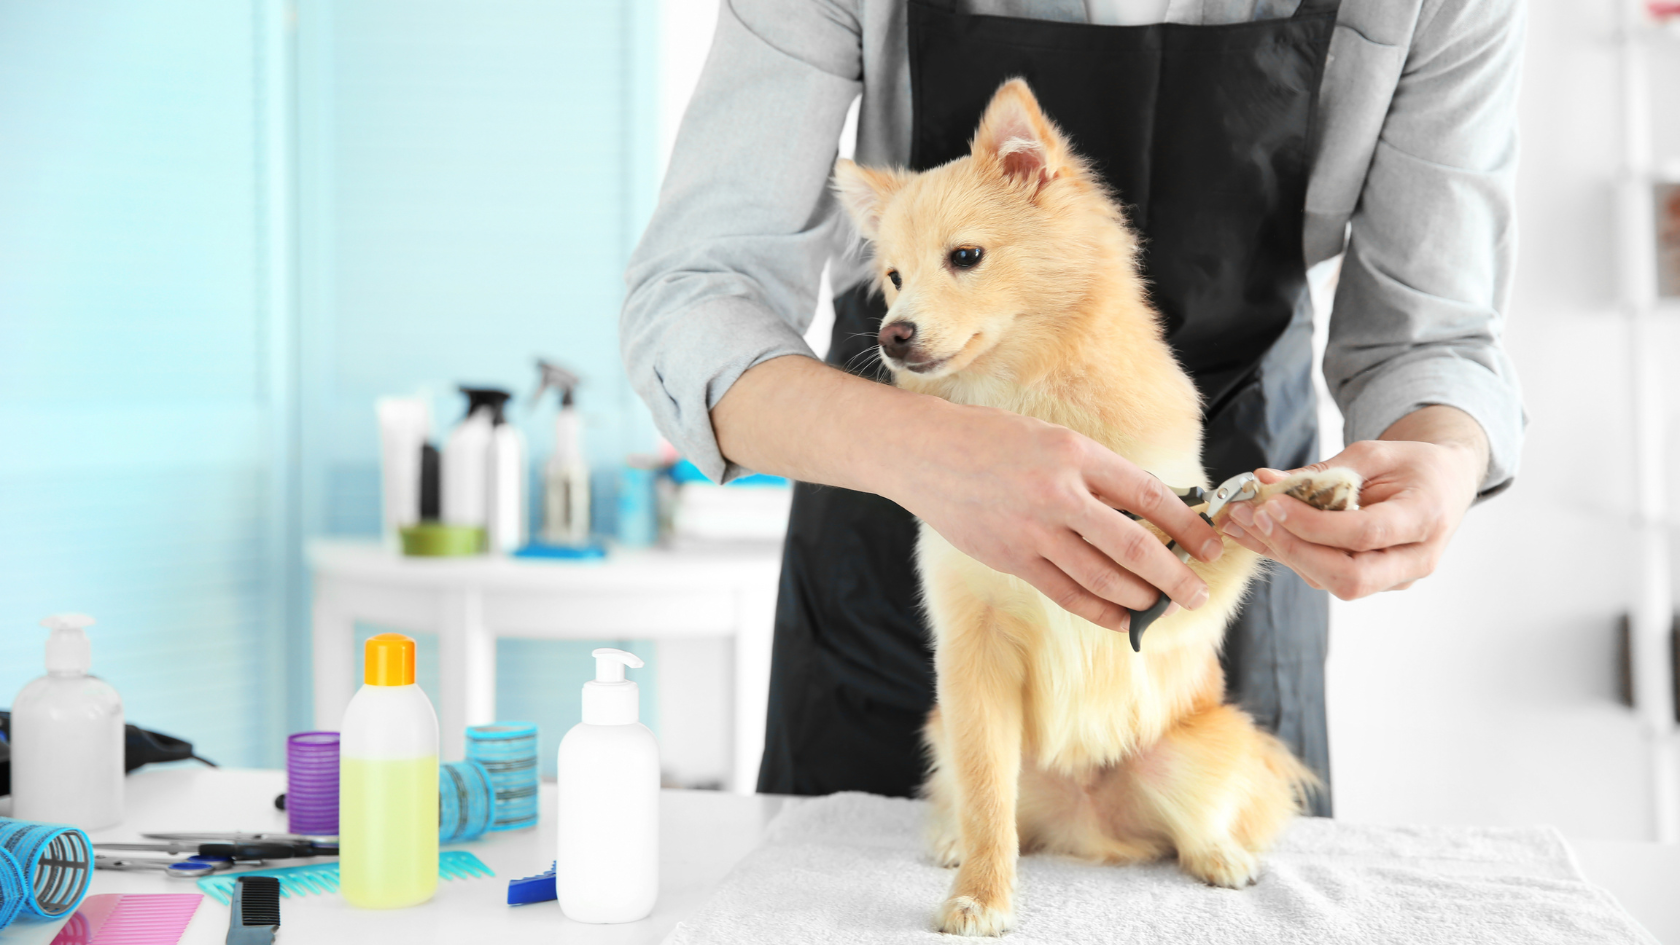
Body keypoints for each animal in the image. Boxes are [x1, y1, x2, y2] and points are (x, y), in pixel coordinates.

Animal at [833, 77, 1357, 928]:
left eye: (965, 257)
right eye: (893, 279)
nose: (892, 335)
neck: (1028, 401)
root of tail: (1088, 821)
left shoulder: (1175, 592)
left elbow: (1232, 526)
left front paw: (1311, 486)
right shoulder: (974, 658)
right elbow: (987, 800)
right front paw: (981, 892)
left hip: (1196, 747)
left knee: (1199, 818)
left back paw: (1220, 854)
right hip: (955, 732)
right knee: (979, 801)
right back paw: (951, 843)